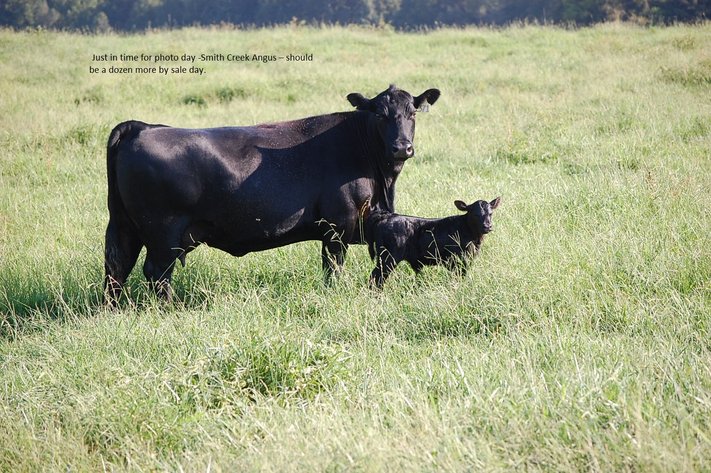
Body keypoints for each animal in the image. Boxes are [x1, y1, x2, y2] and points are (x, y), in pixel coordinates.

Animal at [104, 84, 440, 302]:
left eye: (412, 113)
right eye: (381, 115)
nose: (402, 147)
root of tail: (141, 127)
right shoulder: (337, 227)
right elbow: (333, 270)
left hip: (123, 226)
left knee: (116, 267)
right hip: (163, 234)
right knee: (156, 273)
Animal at [368, 196, 500, 288]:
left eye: (490, 213)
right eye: (475, 214)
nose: (487, 226)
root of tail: (388, 217)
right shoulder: (458, 261)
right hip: (388, 259)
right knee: (376, 278)